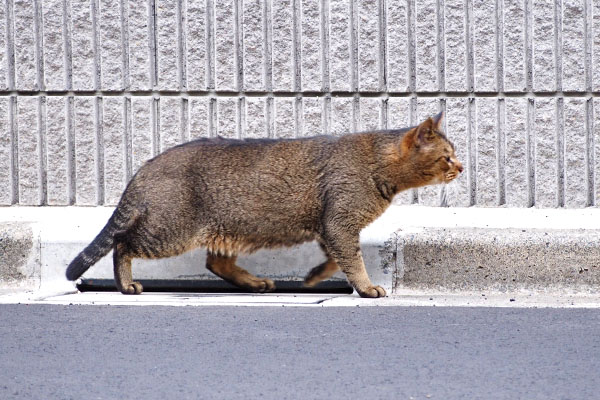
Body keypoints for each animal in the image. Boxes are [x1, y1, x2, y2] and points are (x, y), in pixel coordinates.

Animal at [65, 111, 462, 296]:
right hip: (171, 230)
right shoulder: (339, 223)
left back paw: (254, 282)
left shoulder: (328, 226)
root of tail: (147, 164)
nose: (461, 166)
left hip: (225, 228)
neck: (376, 164)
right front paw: (365, 288)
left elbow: (336, 260)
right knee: (122, 242)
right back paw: (125, 284)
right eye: (446, 157)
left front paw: (315, 276)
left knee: (215, 262)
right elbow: (352, 261)